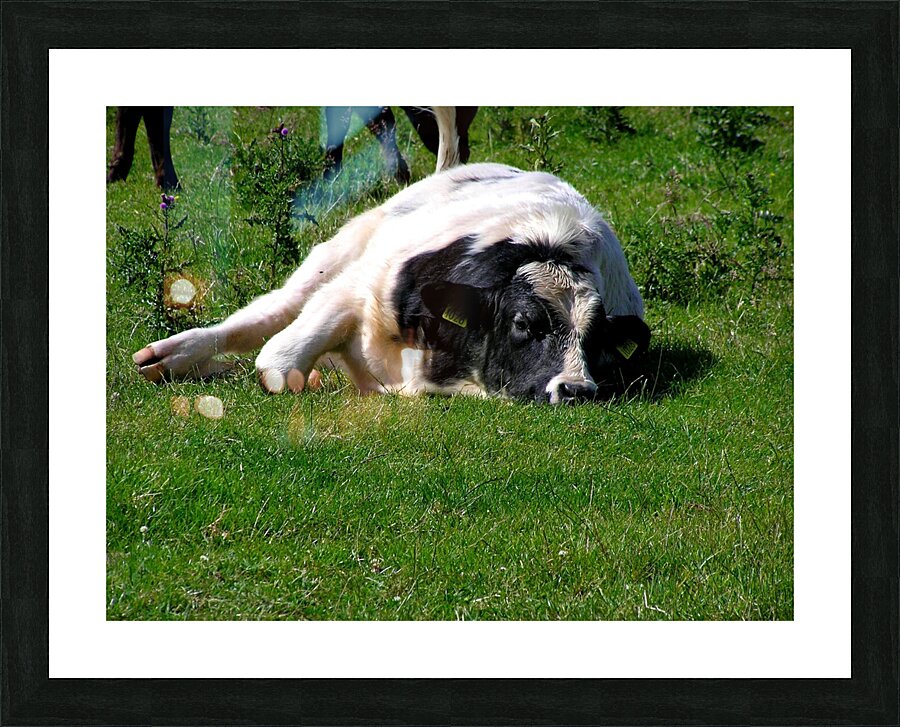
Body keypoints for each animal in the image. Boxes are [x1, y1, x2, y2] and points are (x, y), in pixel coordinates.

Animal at [133, 108, 649, 404]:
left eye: (597, 338)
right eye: (524, 323)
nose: (577, 389)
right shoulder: (356, 287)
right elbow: (276, 364)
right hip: (336, 253)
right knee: (263, 316)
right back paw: (170, 356)